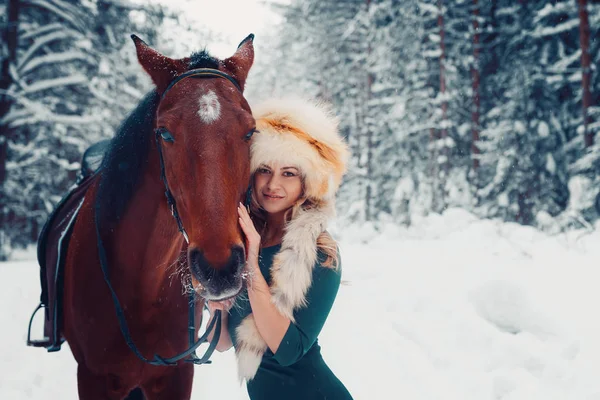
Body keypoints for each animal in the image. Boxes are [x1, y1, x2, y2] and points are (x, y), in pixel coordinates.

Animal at [62, 35, 254, 400]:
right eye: (164, 133)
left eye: (251, 132)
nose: (219, 269)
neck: (142, 287)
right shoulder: (92, 378)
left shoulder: (177, 374)